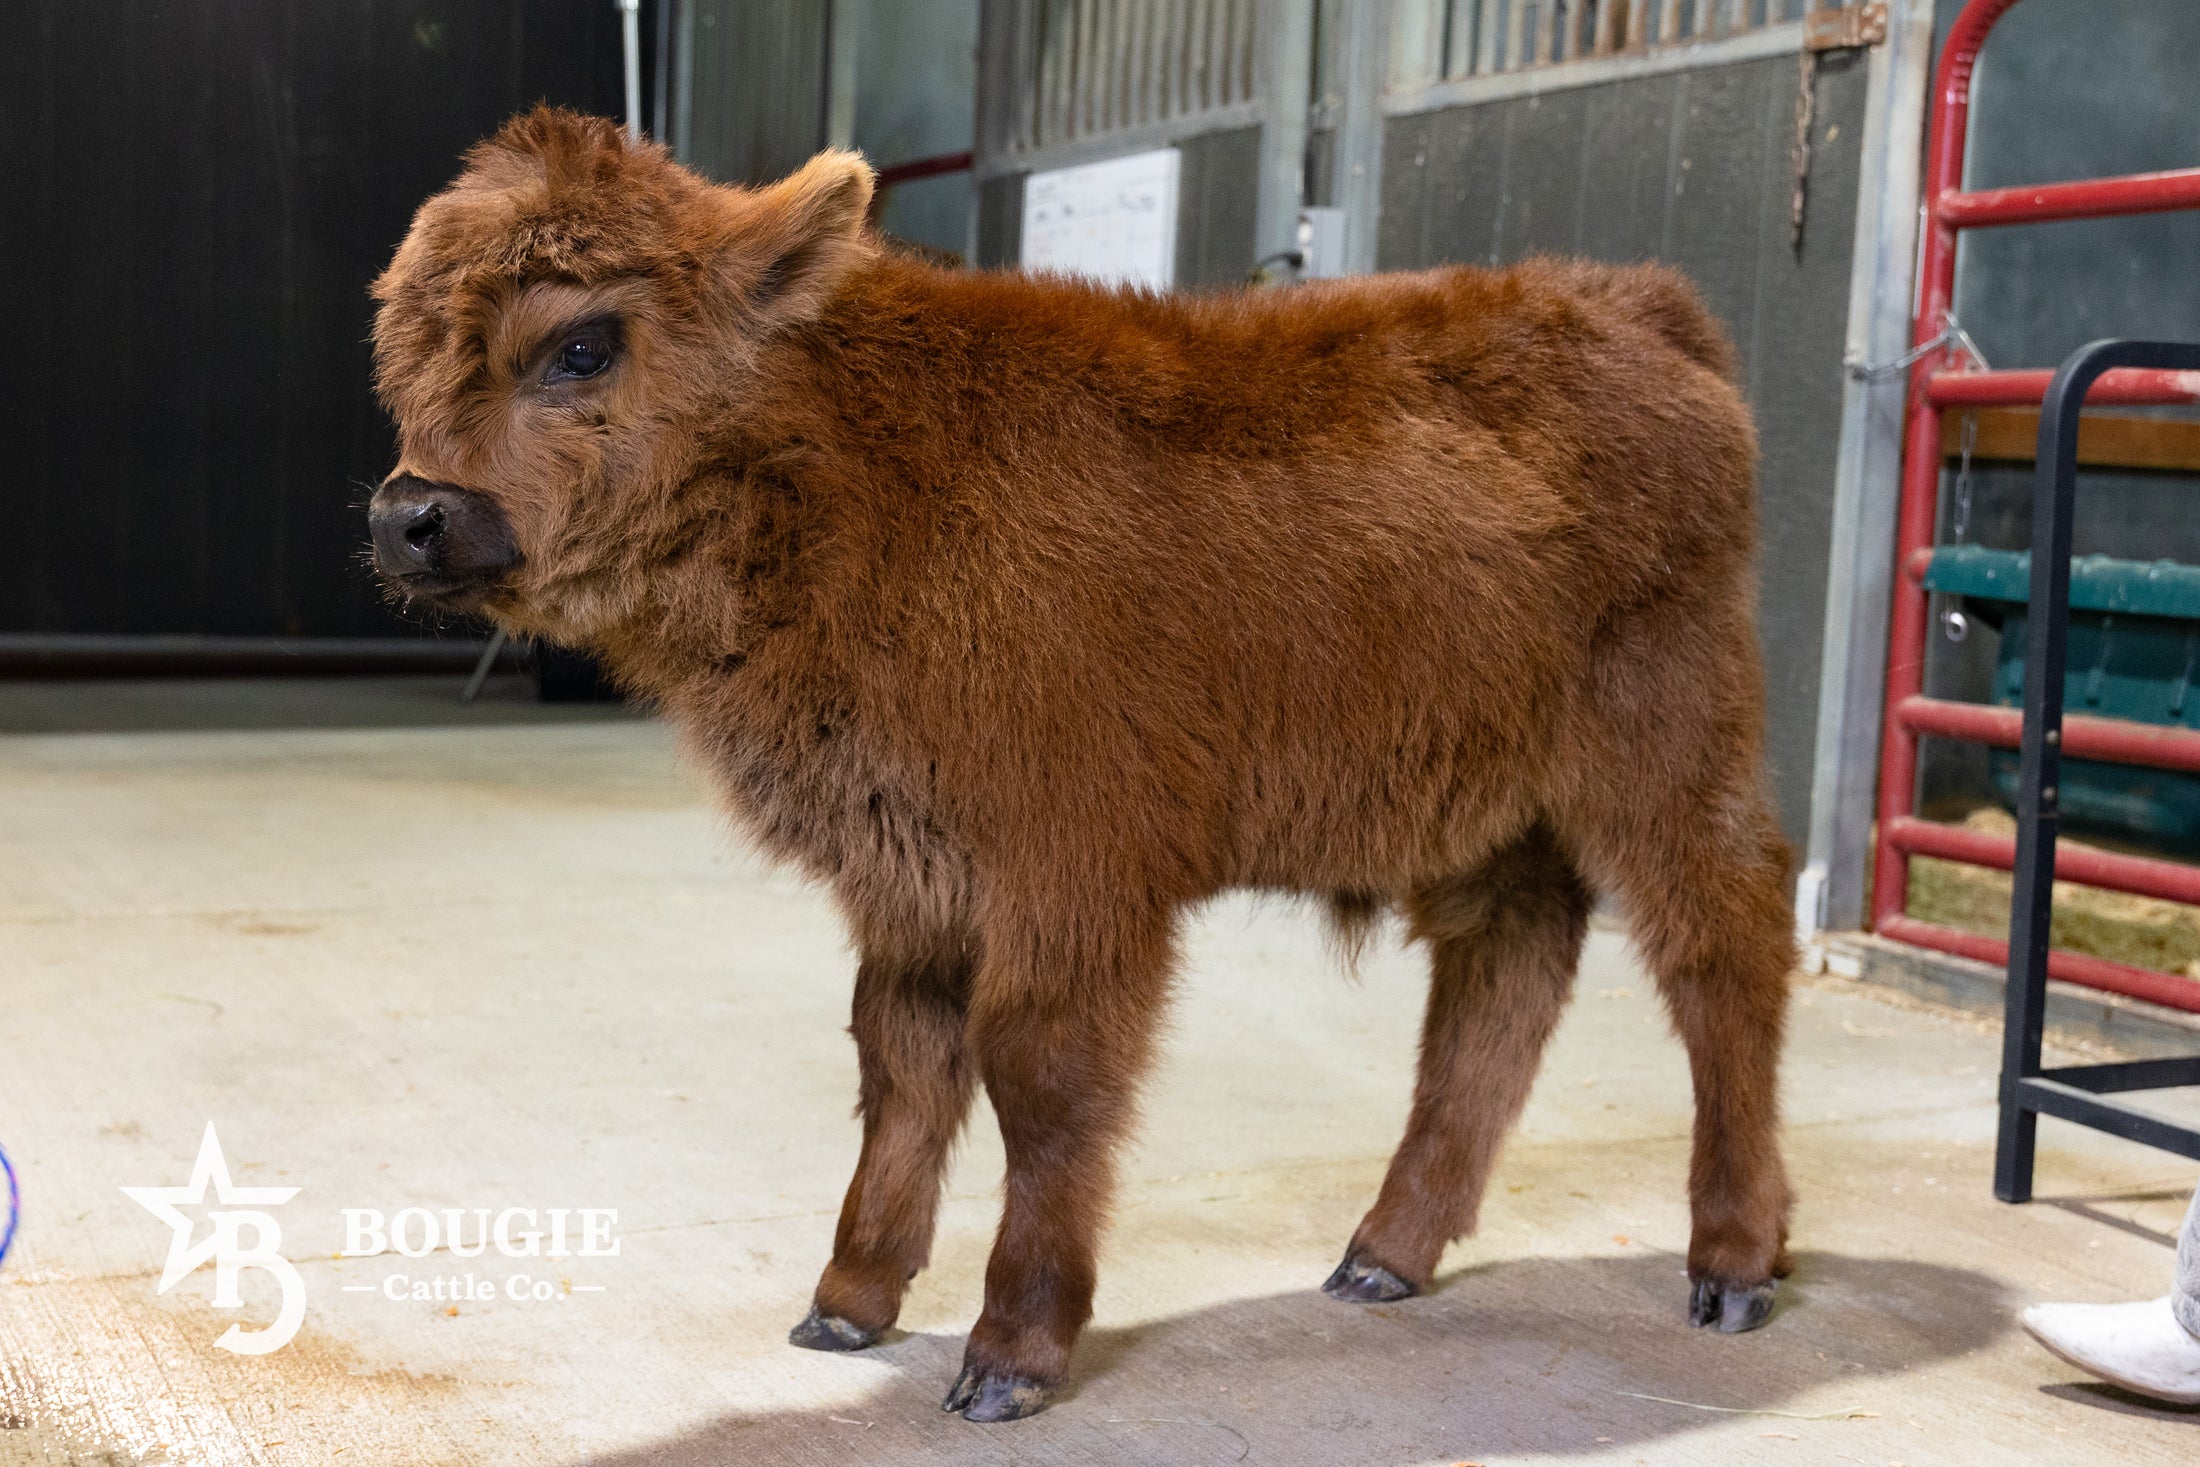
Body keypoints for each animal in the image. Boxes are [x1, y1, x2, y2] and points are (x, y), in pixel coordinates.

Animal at [367, 107, 1795, 1423]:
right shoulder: (913, 879)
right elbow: (902, 1064)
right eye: (404, 357)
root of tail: (1636, 307)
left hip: (1668, 757)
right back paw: (1384, 1256)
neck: (864, 459)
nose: (409, 516)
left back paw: (1733, 1261)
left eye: (582, 344)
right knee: (1502, 976)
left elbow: (1042, 1085)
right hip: (1495, 809)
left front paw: (1011, 1353)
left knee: (1721, 951)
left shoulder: (1068, 885)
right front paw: (847, 1303)